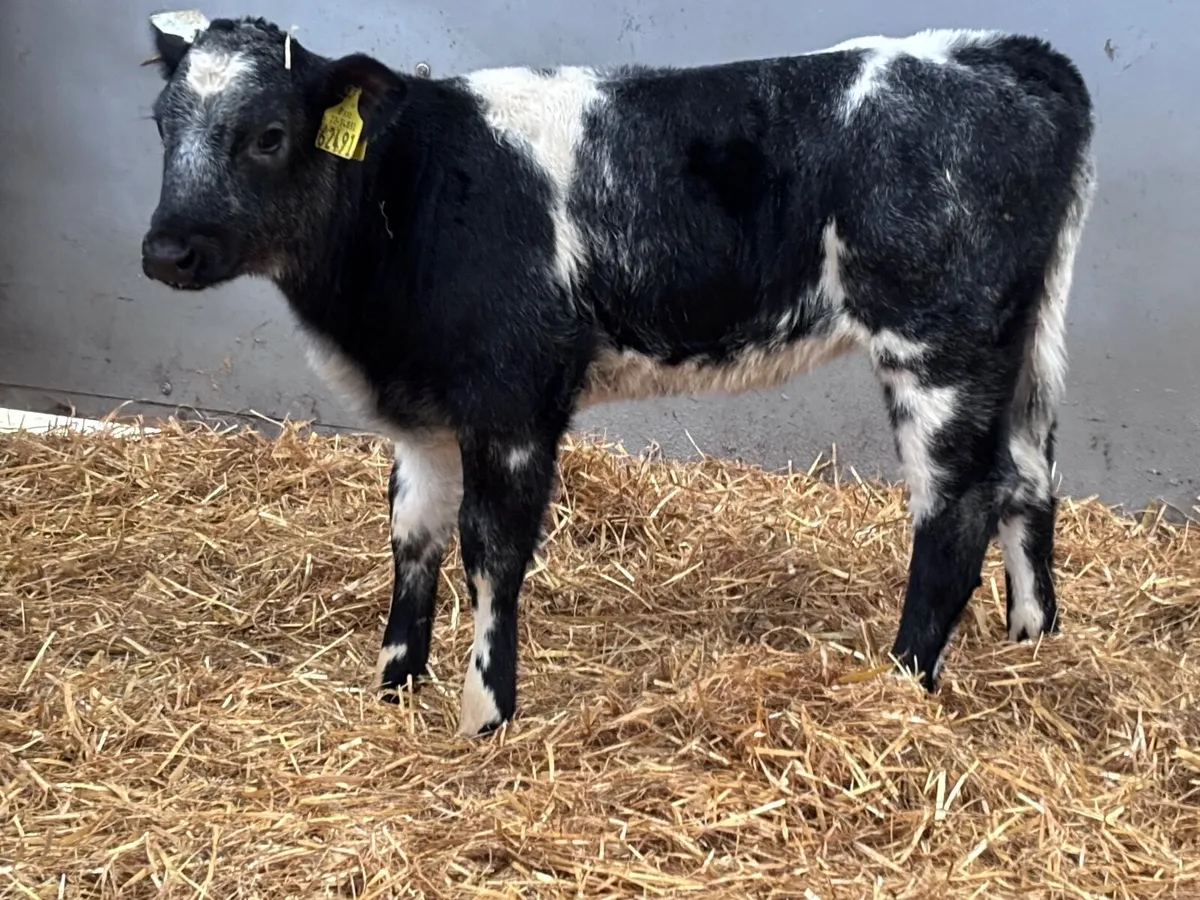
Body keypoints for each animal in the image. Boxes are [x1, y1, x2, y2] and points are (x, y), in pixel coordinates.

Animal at [139, 13, 1096, 736]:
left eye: (269, 136)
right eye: (160, 123)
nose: (164, 252)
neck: (410, 192)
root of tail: (999, 49)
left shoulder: (514, 397)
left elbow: (491, 550)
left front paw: (485, 715)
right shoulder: (423, 411)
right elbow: (413, 536)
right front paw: (394, 686)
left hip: (937, 342)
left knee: (956, 506)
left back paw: (899, 683)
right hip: (1019, 340)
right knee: (1028, 475)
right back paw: (1031, 643)